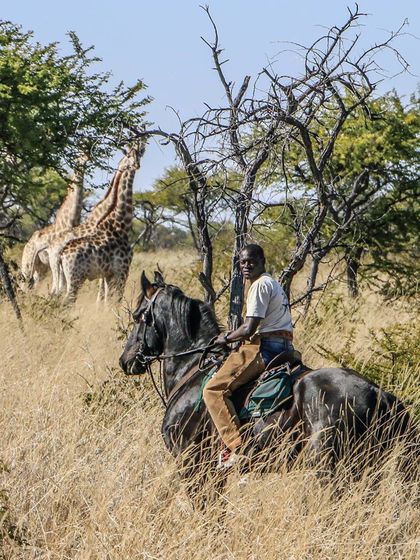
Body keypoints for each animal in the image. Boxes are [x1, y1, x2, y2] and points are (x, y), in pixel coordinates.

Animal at [21, 158, 88, 288]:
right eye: (79, 157)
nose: (87, 158)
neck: (69, 221)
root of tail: (25, 247)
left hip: (40, 268)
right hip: (27, 267)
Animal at [59, 142, 144, 304]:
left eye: (139, 155)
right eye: (129, 155)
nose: (136, 165)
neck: (120, 225)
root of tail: (61, 255)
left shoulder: (108, 274)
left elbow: (106, 301)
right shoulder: (122, 271)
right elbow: (116, 301)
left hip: (65, 279)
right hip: (76, 278)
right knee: (66, 302)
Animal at [119, 272, 414, 498]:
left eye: (137, 315)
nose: (126, 361)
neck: (191, 368)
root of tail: (379, 392)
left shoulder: (192, 462)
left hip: (331, 466)